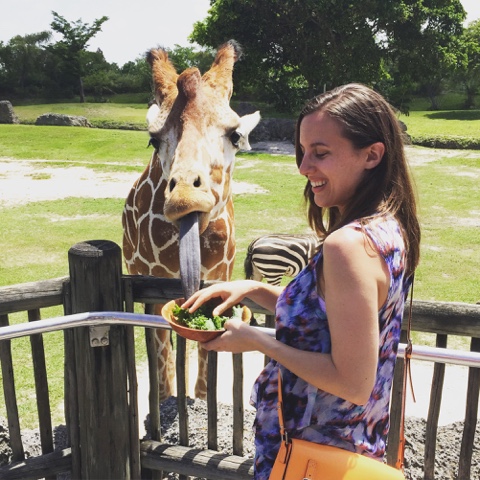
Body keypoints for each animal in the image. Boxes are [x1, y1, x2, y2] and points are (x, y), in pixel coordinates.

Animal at [122, 40, 260, 402]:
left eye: (236, 135)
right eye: (154, 139)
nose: (185, 198)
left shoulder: (219, 275)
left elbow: (202, 371)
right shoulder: (152, 283)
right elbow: (164, 368)